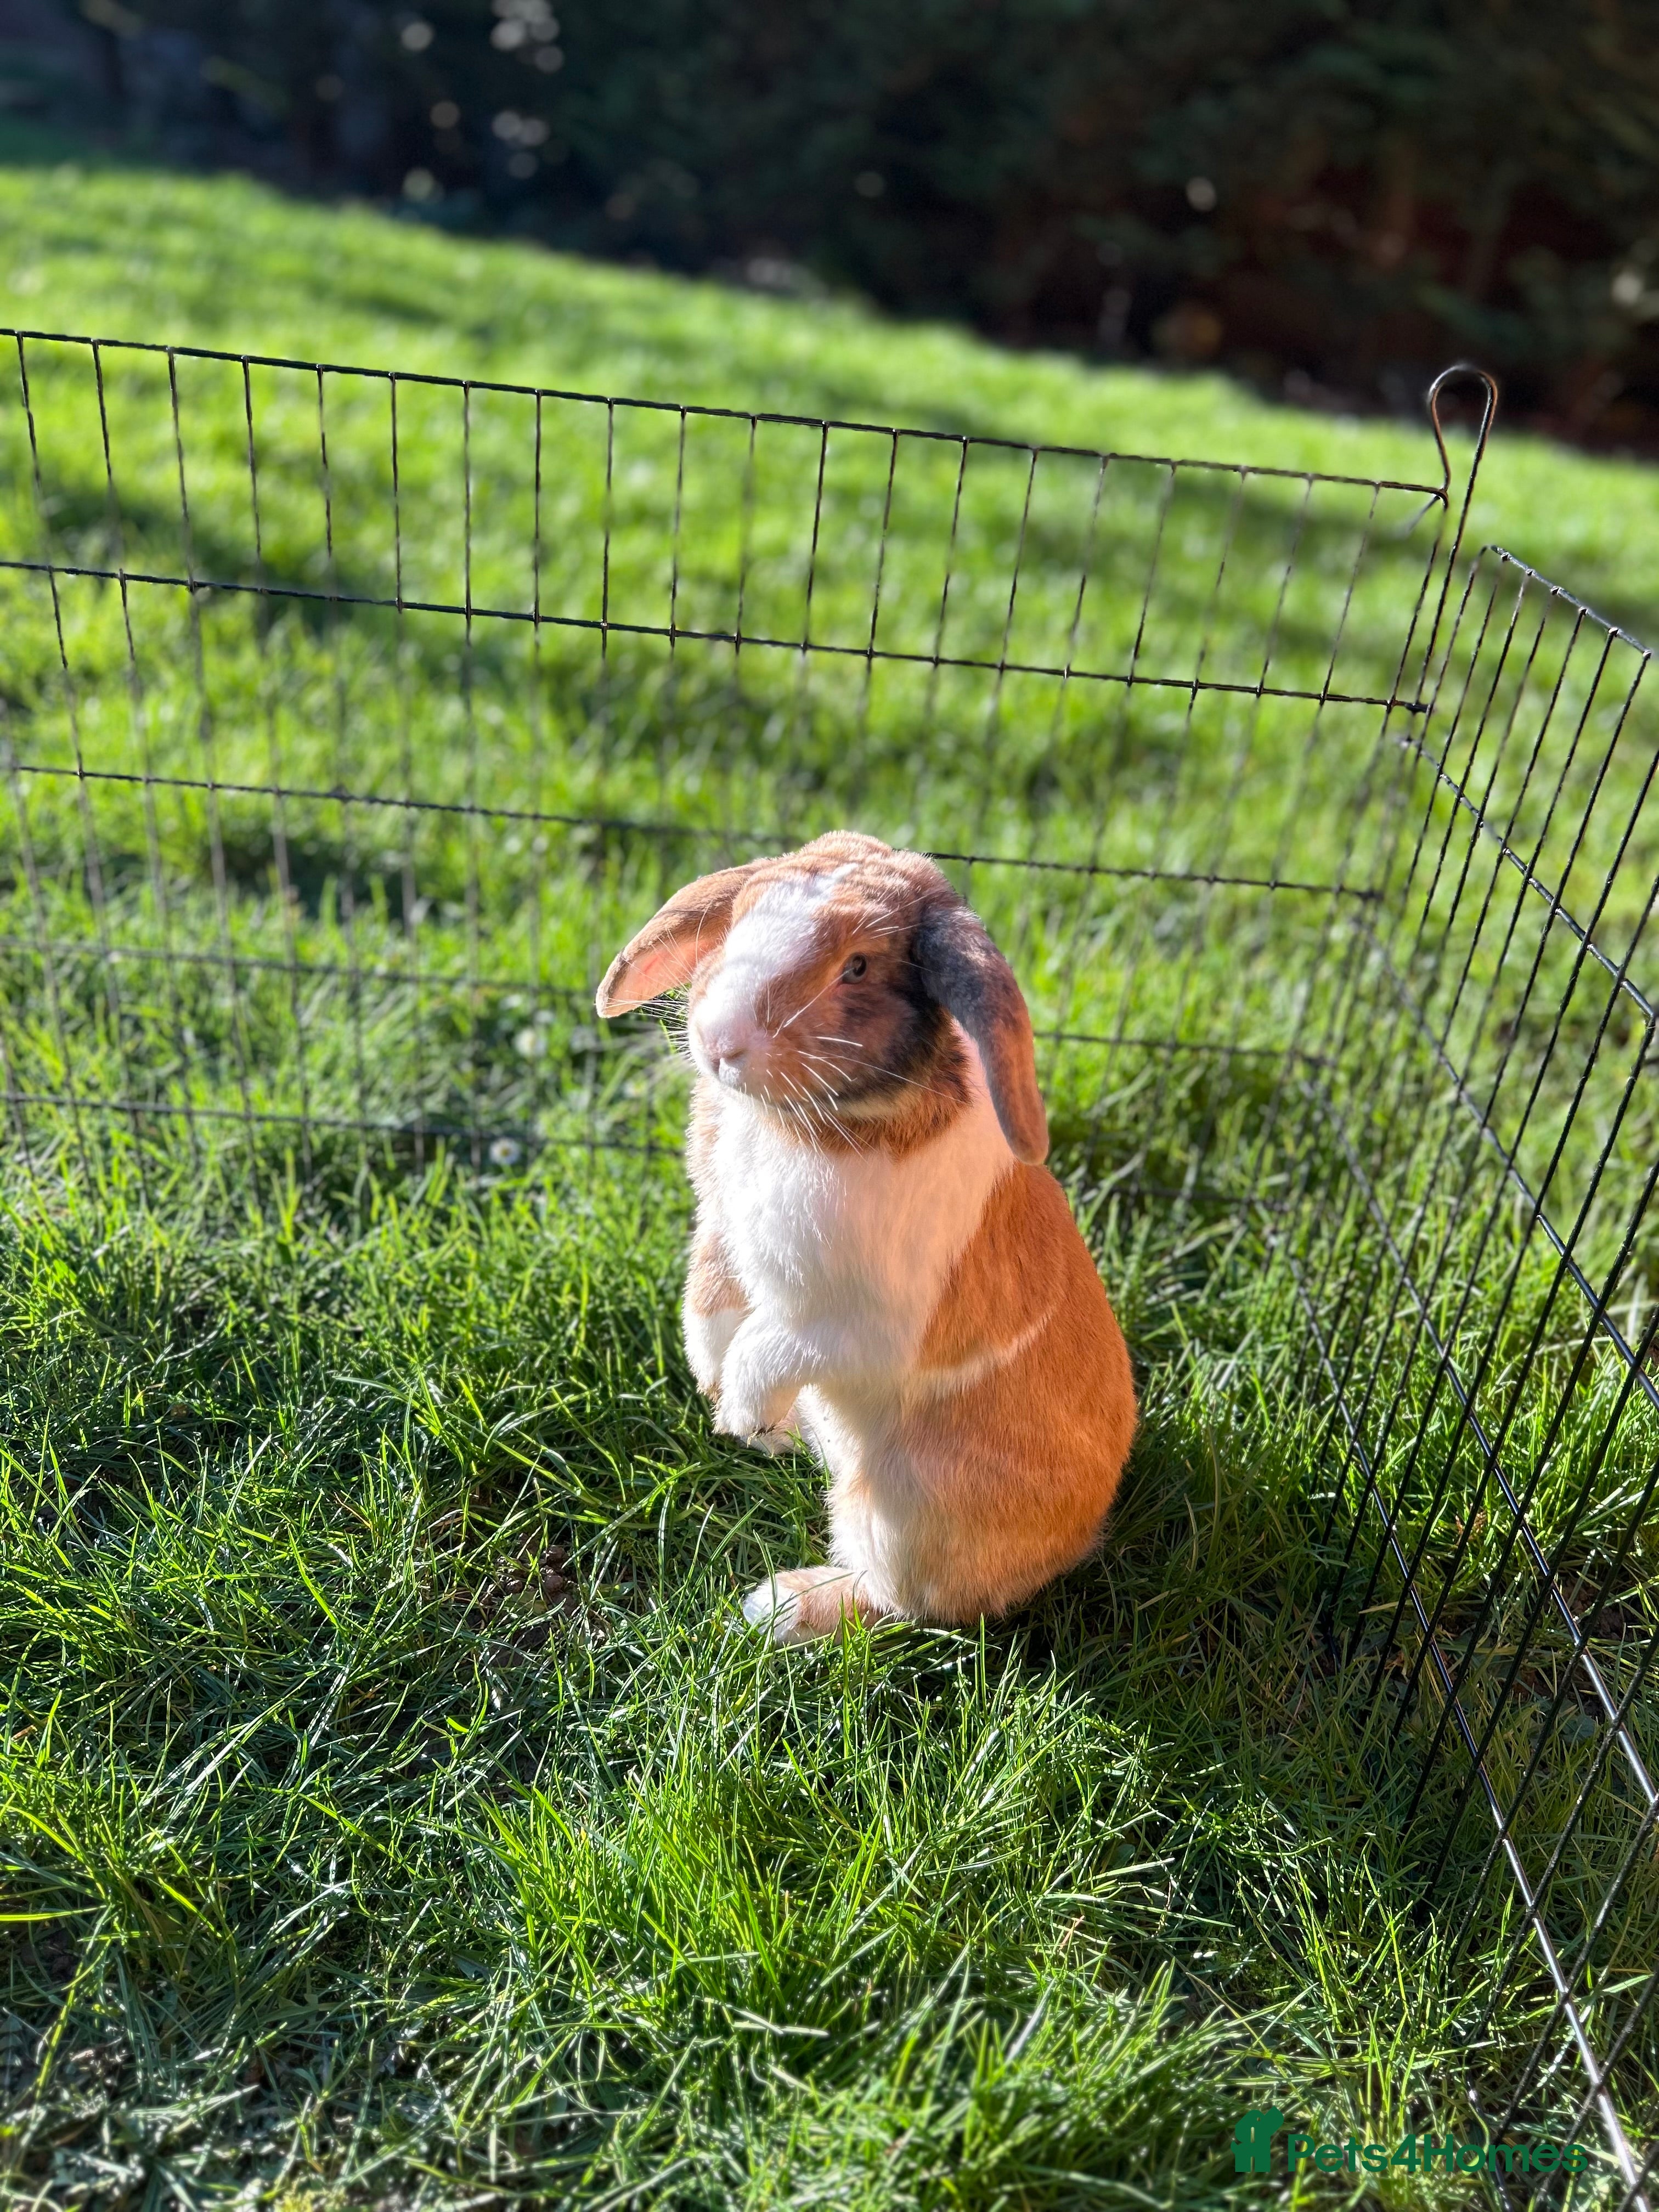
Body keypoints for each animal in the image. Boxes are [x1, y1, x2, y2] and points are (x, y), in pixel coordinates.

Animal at [594, 831, 1137, 1643]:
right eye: (742, 915)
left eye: (857, 967)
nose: (719, 1040)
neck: (808, 1121)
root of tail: (1080, 1537)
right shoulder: (720, 1225)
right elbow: (711, 1298)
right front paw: (720, 1394)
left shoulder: (855, 1324)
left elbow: (774, 1346)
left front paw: (743, 1412)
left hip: (904, 1506)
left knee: (904, 1603)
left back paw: (781, 1607)